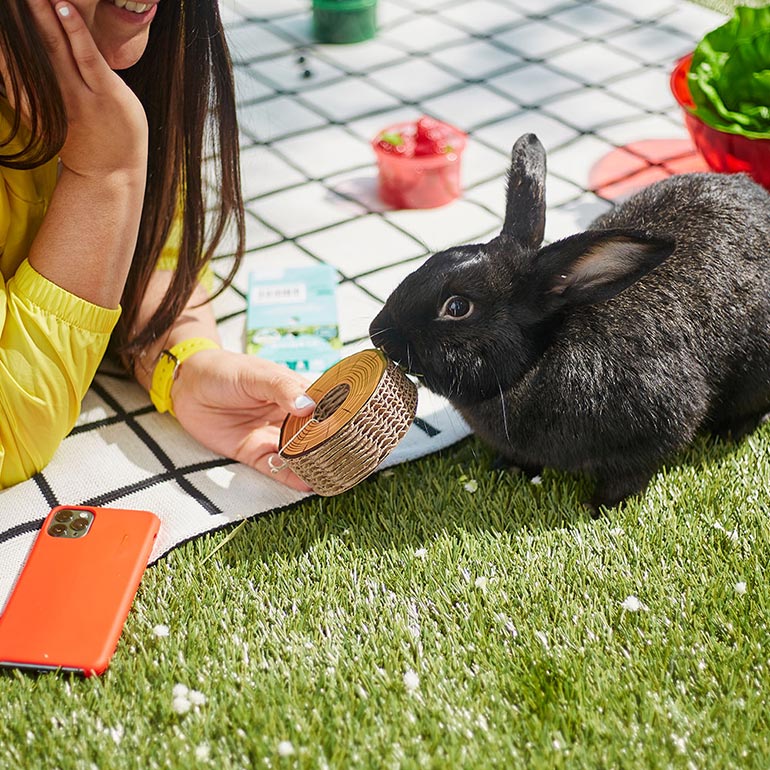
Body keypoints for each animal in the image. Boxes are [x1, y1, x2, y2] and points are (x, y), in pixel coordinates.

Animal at [366, 134, 768, 510]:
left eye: (457, 307)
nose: (377, 333)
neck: (536, 361)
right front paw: (507, 468)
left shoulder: (658, 425)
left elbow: (631, 473)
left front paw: (599, 507)